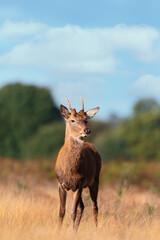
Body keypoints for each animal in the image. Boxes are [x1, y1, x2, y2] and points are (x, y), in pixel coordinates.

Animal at [55, 97, 101, 231]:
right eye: (72, 120)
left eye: (86, 120)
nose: (87, 130)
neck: (70, 170)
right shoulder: (61, 183)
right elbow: (62, 211)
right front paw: (59, 231)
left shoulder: (79, 184)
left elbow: (73, 212)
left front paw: (71, 231)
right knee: (82, 207)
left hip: (95, 180)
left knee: (94, 206)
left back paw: (96, 228)